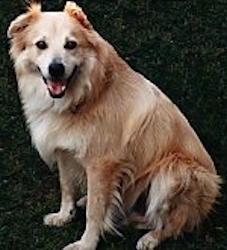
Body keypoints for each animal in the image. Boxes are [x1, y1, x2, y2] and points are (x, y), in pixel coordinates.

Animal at [7, 1, 221, 250]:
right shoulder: (64, 152)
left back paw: (150, 238)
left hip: (175, 172)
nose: (56, 68)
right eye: (41, 45)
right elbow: (66, 186)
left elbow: (94, 212)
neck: (87, 95)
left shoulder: (102, 164)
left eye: (71, 45)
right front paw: (64, 215)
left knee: (169, 223)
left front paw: (87, 243)